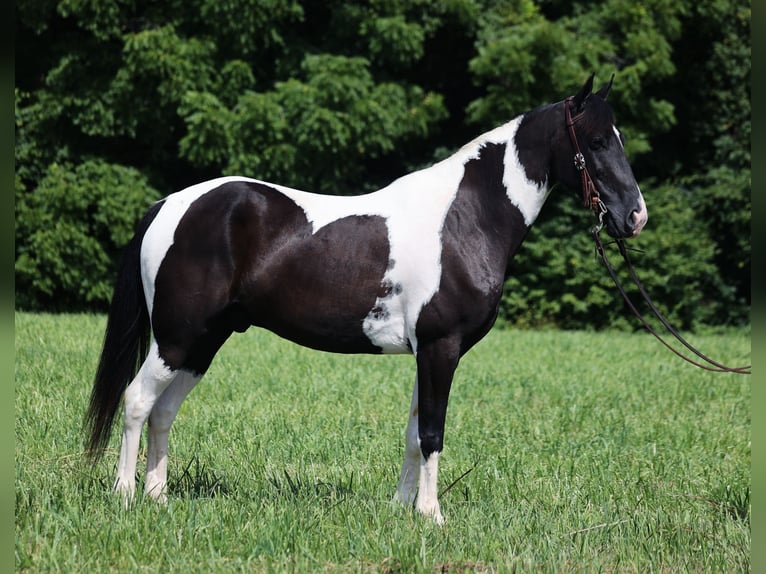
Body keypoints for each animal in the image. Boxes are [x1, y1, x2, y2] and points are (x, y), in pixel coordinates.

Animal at [84, 75, 648, 528]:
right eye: (597, 141)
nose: (635, 217)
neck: (464, 219)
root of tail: (168, 204)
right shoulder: (441, 347)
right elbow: (433, 431)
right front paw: (432, 516)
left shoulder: (429, 352)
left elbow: (414, 432)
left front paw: (403, 510)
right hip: (176, 338)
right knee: (137, 401)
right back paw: (126, 496)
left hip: (201, 342)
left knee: (163, 411)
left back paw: (158, 498)